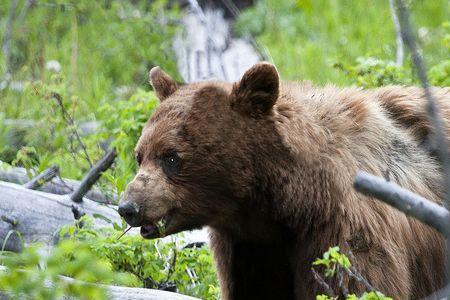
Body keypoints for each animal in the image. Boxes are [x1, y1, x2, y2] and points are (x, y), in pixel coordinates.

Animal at [118, 62, 448, 298]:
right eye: (140, 155)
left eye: (172, 157)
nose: (128, 207)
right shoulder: (250, 248)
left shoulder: (343, 229)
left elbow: (355, 285)